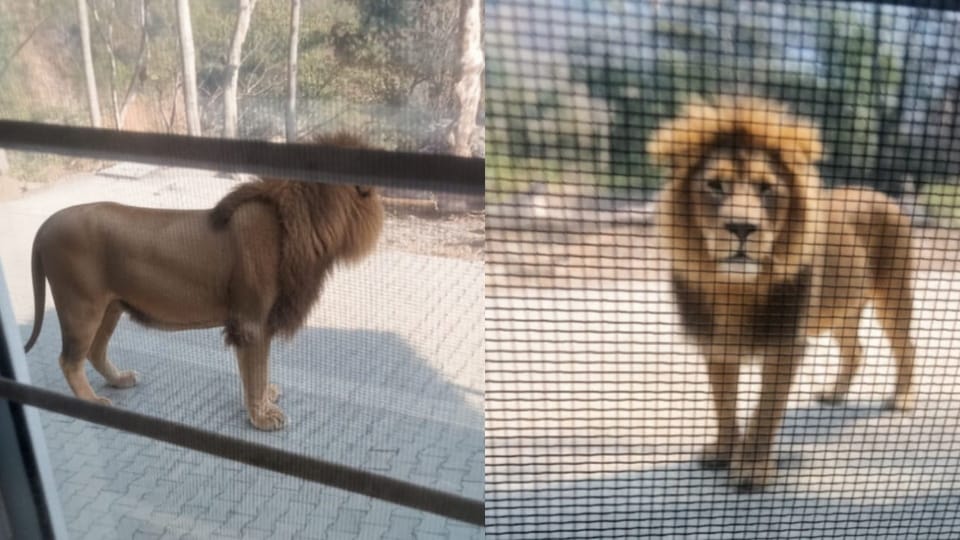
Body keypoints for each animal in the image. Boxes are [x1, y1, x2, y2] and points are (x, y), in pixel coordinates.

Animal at [22, 133, 384, 431]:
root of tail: (44, 226)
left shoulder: (255, 323)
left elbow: (258, 370)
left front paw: (266, 398)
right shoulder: (251, 322)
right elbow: (255, 370)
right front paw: (262, 417)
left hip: (110, 307)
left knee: (95, 351)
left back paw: (120, 380)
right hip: (81, 307)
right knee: (70, 360)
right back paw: (92, 404)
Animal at [650, 96, 917, 490]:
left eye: (766, 188)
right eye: (716, 185)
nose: (742, 228)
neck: (735, 289)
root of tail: (878, 192)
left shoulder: (786, 344)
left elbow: (765, 410)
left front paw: (753, 467)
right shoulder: (716, 345)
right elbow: (724, 404)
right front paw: (724, 450)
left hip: (893, 293)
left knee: (906, 346)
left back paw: (902, 397)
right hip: (840, 308)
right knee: (855, 350)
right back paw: (833, 394)